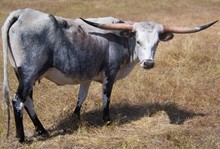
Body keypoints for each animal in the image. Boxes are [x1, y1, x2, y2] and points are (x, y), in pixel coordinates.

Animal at [1, 8, 218, 142]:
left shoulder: (87, 75)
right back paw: (22, 137)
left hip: (24, 75)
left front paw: (76, 116)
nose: (148, 63)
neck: (122, 40)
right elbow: (106, 97)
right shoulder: (110, 72)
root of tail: (22, 13)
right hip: (28, 72)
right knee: (18, 100)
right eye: (138, 40)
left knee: (28, 100)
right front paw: (106, 119)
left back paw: (42, 130)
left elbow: (81, 96)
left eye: (156, 42)